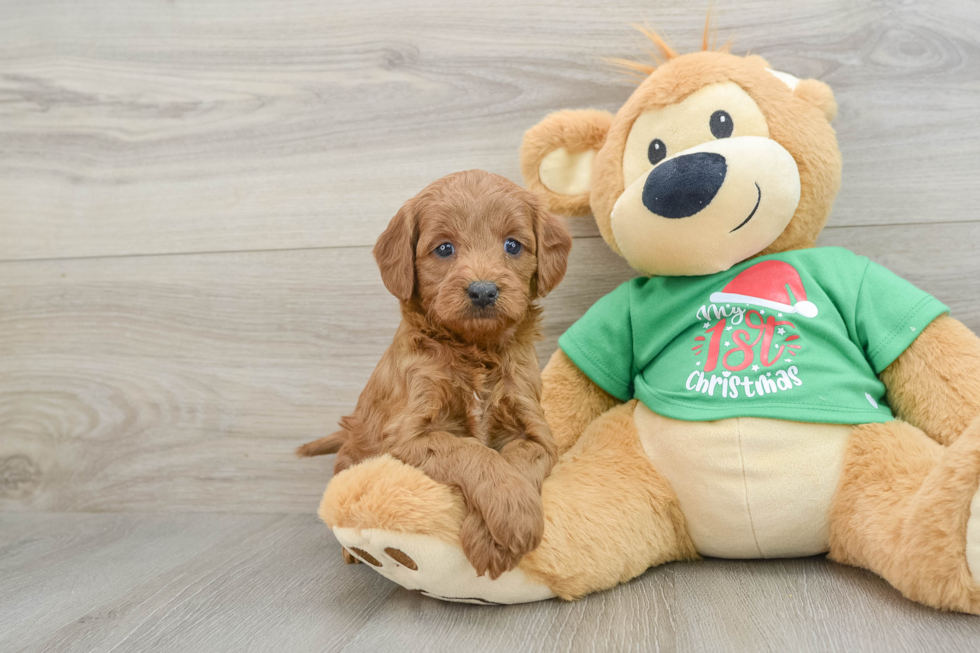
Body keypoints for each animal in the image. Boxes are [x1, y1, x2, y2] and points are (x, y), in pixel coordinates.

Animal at [298, 168, 576, 576]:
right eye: (444, 249)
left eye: (513, 245)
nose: (483, 291)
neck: (475, 350)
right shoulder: (408, 433)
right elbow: (470, 451)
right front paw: (511, 518)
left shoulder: (537, 430)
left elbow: (517, 458)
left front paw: (498, 531)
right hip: (353, 455)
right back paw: (352, 551)